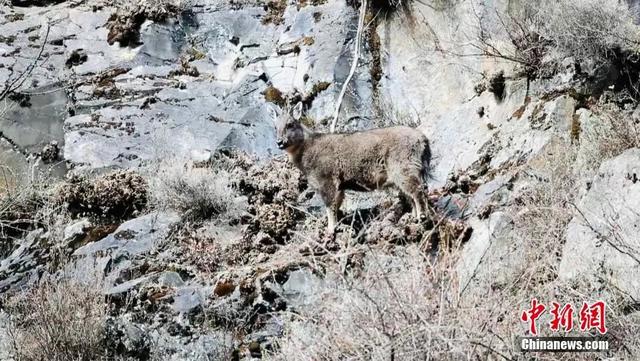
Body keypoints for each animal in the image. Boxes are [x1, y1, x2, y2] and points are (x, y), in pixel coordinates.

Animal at [272, 102, 432, 232]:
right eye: (275, 127)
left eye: (290, 124)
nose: (279, 142)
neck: (307, 149)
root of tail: (422, 139)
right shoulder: (340, 185)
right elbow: (336, 205)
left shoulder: (327, 179)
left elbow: (330, 207)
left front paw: (331, 229)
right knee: (411, 194)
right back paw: (413, 217)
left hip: (403, 167)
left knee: (418, 190)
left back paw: (422, 216)